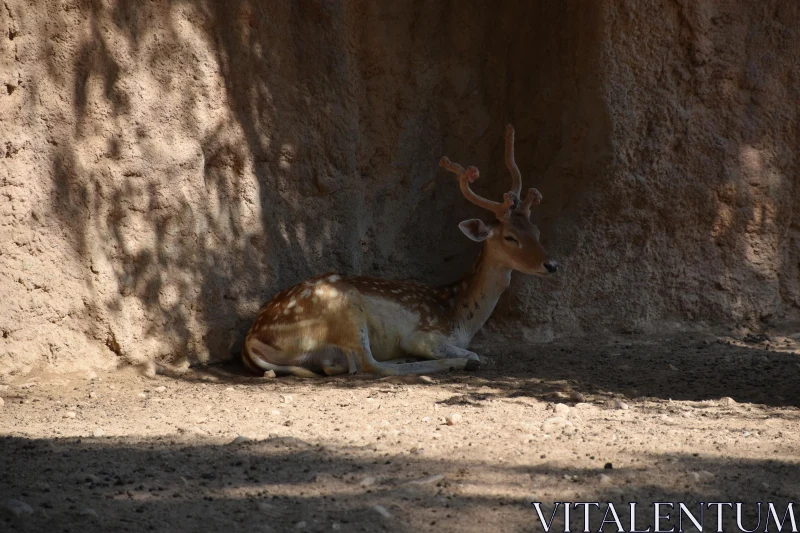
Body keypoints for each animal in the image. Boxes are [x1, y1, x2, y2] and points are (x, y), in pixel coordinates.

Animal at [241, 123, 560, 378]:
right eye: (510, 237)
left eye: (536, 231)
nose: (552, 264)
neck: (461, 317)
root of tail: (252, 340)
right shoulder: (423, 335)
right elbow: (472, 352)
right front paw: (464, 359)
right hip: (345, 307)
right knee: (369, 365)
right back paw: (450, 364)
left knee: (341, 365)